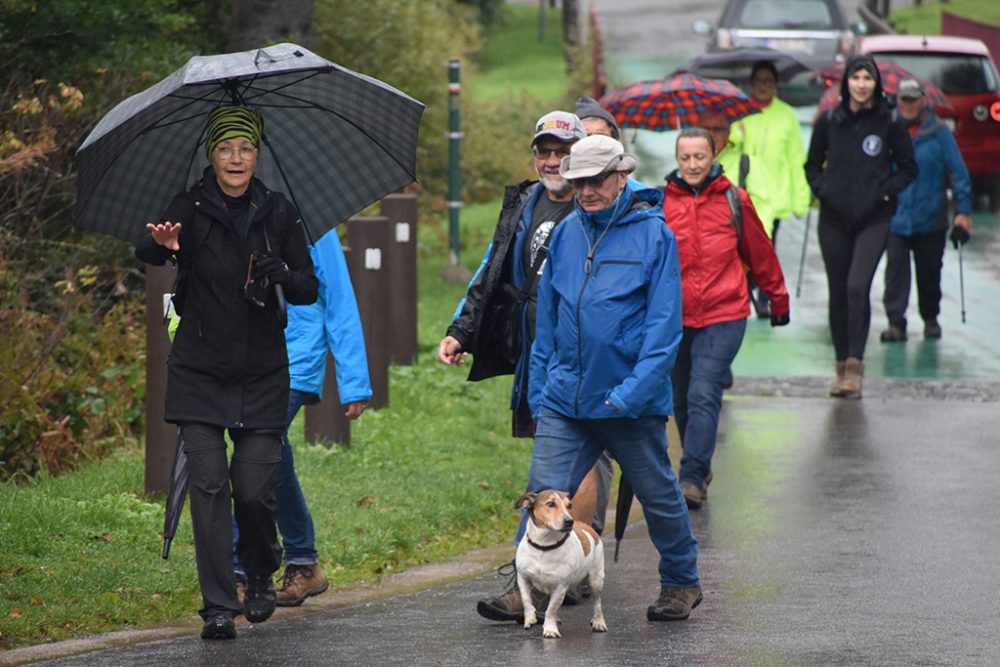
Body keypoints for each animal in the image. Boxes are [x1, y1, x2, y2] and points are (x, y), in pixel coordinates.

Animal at [516, 490, 608, 636]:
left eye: (569, 505)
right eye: (550, 504)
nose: (569, 521)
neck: (544, 547)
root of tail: (587, 527)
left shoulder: (560, 586)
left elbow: (551, 609)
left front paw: (550, 629)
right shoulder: (523, 578)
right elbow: (526, 600)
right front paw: (530, 618)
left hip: (596, 580)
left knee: (597, 603)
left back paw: (599, 622)